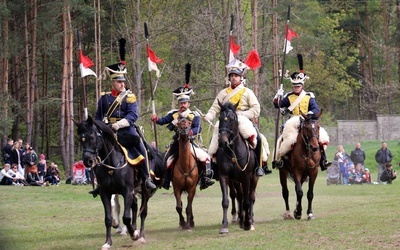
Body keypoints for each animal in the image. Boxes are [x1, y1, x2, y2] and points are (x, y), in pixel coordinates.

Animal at [75, 116, 164, 248]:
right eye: (81, 139)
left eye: (92, 137)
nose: (87, 161)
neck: (112, 165)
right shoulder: (105, 193)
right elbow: (108, 218)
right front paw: (108, 242)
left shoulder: (127, 191)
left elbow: (126, 217)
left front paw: (133, 234)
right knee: (135, 205)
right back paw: (134, 228)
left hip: (145, 190)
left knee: (143, 211)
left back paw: (141, 235)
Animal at [216, 100, 260, 233]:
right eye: (220, 118)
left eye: (232, 119)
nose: (222, 141)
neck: (233, 152)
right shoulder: (224, 177)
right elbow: (226, 201)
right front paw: (224, 226)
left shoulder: (246, 177)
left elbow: (247, 201)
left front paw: (247, 223)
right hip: (235, 181)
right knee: (239, 196)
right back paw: (241, 218)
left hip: (253, 178)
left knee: (250, 197)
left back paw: (250, 219)